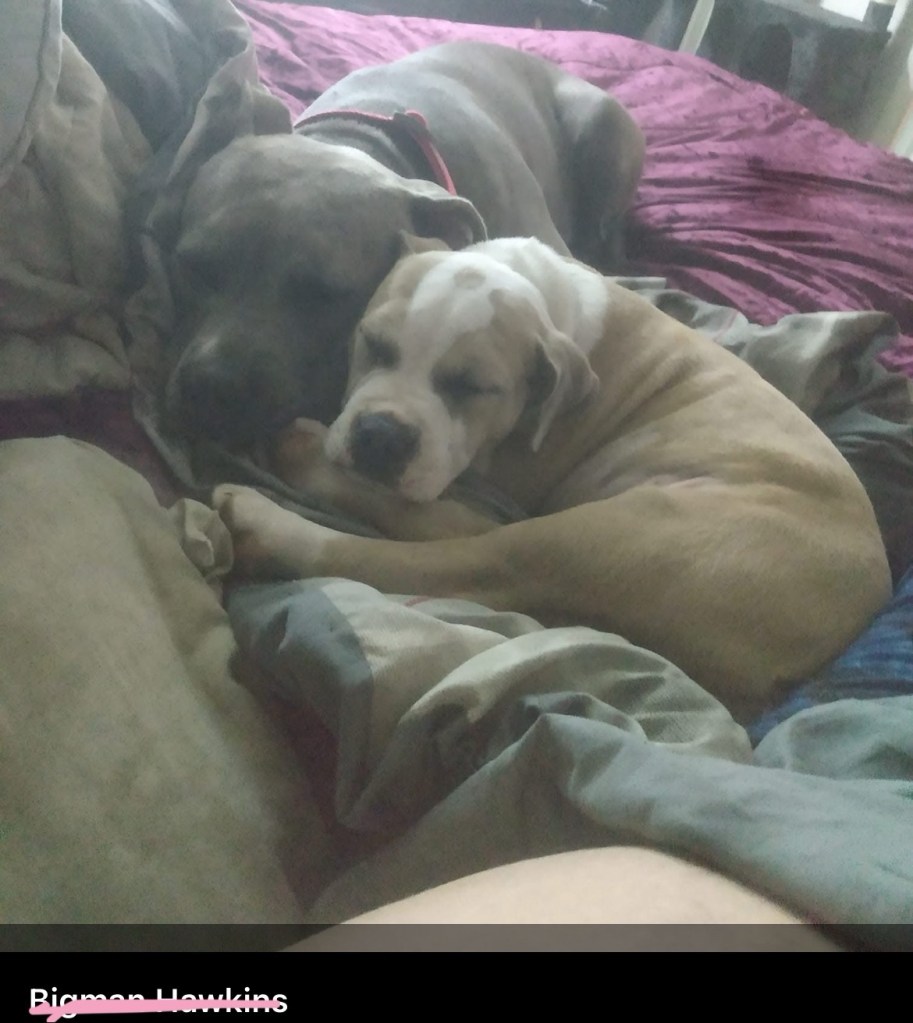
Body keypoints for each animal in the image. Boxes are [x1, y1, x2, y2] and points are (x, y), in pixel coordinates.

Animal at [213, 236, 891, 717]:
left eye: (471, 388)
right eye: (373, 344)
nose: (380, 435)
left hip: (610, 533)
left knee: (435, 550)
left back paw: (274, 500)